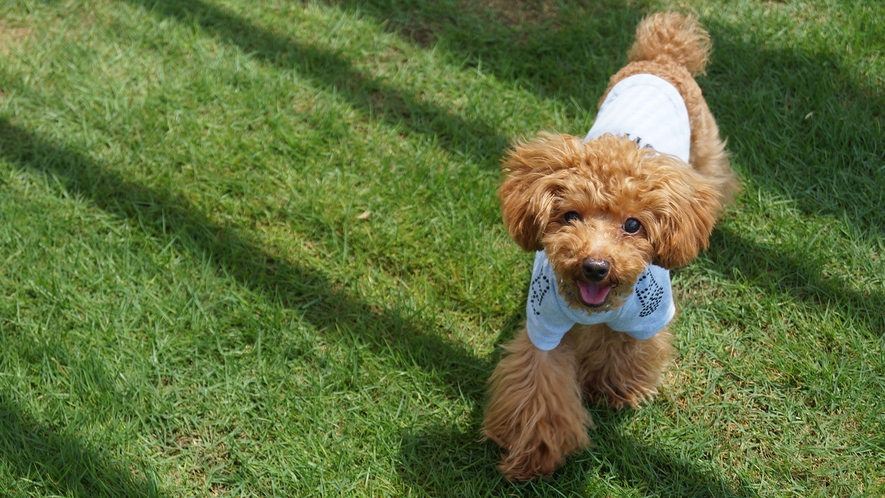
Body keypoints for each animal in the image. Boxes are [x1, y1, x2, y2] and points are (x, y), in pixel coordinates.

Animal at [484, 12, 740, 478]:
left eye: (634, 225)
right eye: (569, 216)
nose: (595, 267)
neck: (596, 307)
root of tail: (661, 57)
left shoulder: (645, 317)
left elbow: (627, 350)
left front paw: (616, 389)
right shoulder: (544, 323)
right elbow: (539, 387)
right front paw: (533, 450)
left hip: (705, 151)